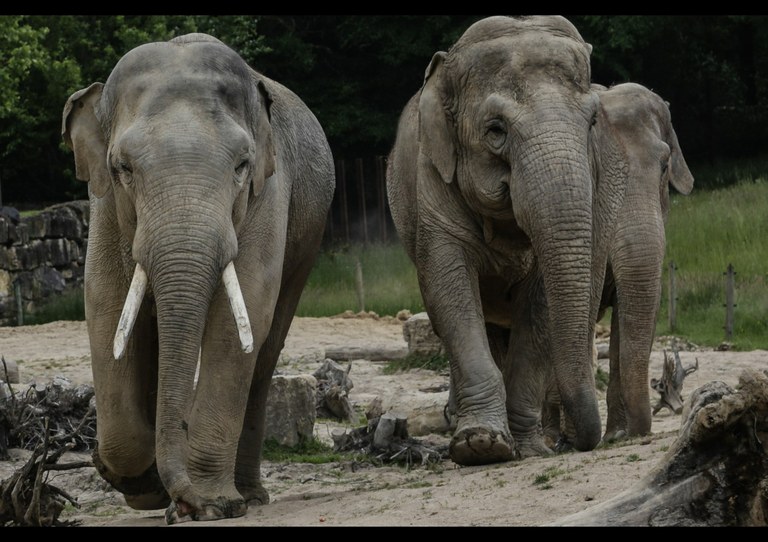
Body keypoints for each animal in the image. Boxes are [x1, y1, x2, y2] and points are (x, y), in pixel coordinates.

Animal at [60, 33, 336, 524]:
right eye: (122, 168)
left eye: (242, 165)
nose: (184, 503)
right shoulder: (104, 204)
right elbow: (105, 304)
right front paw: (142, 486)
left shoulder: (269, 193)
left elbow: (241, 314)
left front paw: (212, 505)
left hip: (308, 238)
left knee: (265, 350)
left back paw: (249, 496)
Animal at [384, 17, 632, 468]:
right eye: (495, 130)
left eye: (591, 124)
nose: (584, 441)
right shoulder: (431, 179)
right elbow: (448, 290)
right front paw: (481, 446)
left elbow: (540, 306)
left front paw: (527, 449)